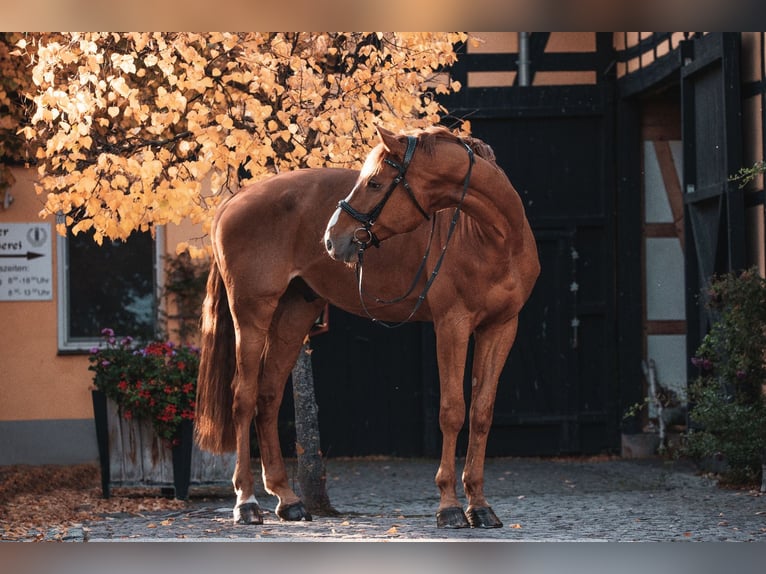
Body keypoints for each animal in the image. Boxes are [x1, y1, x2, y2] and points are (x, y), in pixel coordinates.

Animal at [196, 126, 540, 532]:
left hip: (294, 314)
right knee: (244, 398)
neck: (493, 238)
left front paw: (481, 506)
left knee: (268, 396)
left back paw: (288, 499)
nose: (332, 238)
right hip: (251, 316)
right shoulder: (451, 325)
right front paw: (450, 506)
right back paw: (247, 503)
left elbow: (482, 413)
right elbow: (453, 411)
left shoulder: (500, 328)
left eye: (375, 183)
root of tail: (234, 201)